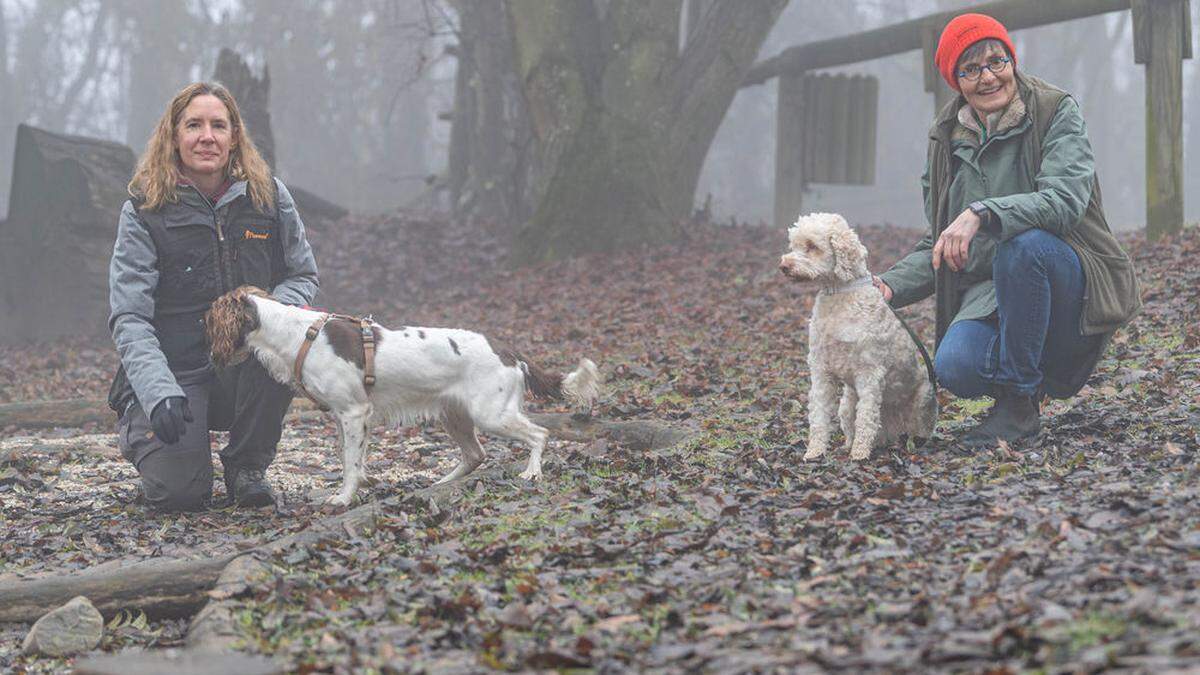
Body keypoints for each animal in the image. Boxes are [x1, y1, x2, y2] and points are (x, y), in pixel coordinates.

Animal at [777, 212, 936, 458]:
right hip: (847, 403)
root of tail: (892, 432)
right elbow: (819, 416)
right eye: (793, 245)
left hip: (923, 399)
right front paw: (814, 453)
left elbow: (866, 417)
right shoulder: (821, 370)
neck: (838, 296)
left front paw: (859, 454)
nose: (784, 266)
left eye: (812, 246)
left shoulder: (869, 372)